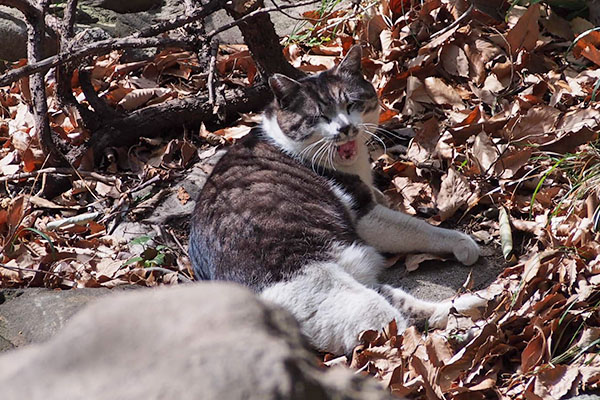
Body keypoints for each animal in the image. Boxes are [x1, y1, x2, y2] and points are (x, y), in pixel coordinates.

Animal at [190, 45, 486, 354]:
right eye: (319, 116)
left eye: (351, 105)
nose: (344, 128)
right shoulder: (364, 214)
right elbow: (418, 228)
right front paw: (461, 241)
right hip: (352, 301)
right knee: (405, 335)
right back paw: (466, 334)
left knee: (414, 309)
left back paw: (476, 303)